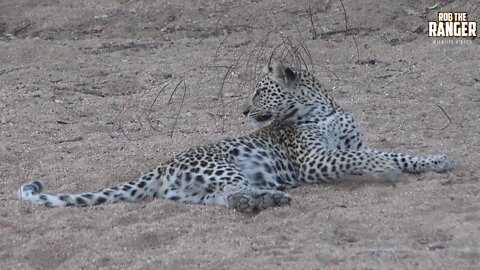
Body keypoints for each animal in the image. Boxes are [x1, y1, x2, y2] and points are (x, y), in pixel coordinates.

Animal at [18, 61, 454, 213]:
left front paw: (436, 160)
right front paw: (382, 168)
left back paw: (259, 200)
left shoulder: (352, 144)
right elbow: (360, 158)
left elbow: (398, 153)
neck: (324, 111)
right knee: (231, 189)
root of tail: (163, 165)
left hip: (196, 188)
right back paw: (267, 198)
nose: (243, 111)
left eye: (259, 92)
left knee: (218, 199)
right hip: (224, 165)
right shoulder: (314, 161)